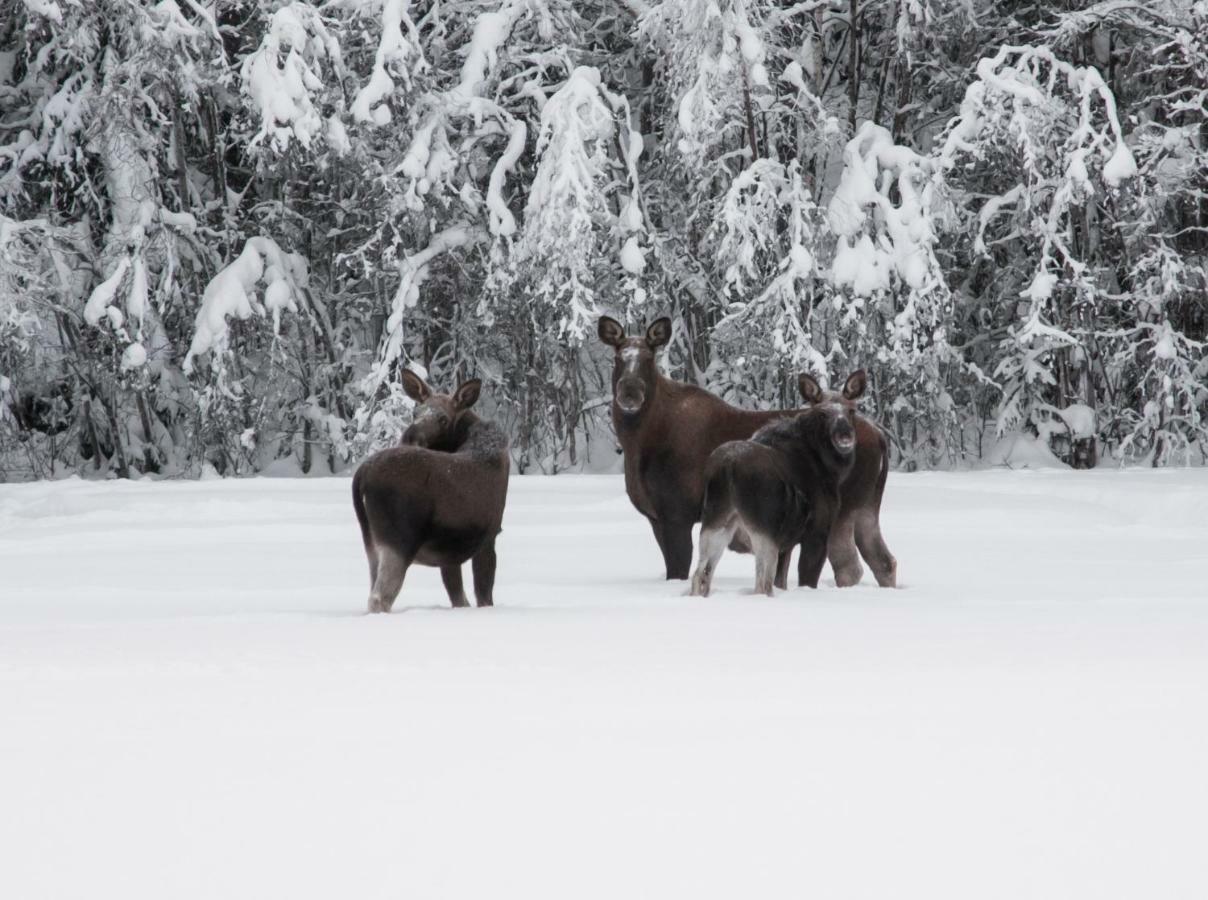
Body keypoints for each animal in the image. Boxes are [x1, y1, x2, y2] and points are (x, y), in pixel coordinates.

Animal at [350, 369, 509, 611]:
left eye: (443, 419)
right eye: (415, 412)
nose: (410, 436)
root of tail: (362, 474)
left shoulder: (450, 552)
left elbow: (459, 597)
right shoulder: (489, 536)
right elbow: (483, 596)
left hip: (371, 544)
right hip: (399, 542)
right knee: (380, 597)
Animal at [690, 372, 869, 596]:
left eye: (852, 410)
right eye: (822, 413)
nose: (844, 436)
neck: (831, 469)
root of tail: (727, 468)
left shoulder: (787, 543)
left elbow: (781, 580)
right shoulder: (817, 532)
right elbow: (805, 580)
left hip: (716, 522)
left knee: (700, 574)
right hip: (763, 531)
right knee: (761, 584)